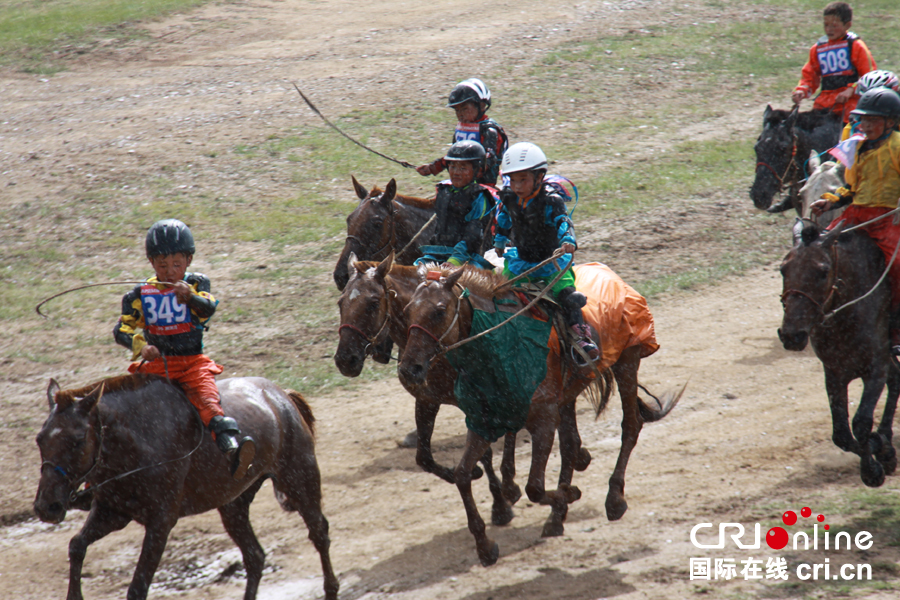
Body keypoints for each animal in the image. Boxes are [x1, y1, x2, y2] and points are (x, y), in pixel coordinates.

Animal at [33, 376, 340, 600]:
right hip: (233, 505)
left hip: (300, 481)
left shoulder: (160, 523)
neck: (139, 440)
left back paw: (331, 588)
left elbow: (137, 587)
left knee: (319, 533)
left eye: (77, 439)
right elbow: (76, 546)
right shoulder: (112, 512)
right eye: (40, 439)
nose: (47, 506)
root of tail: (281, 396)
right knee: (255, 556)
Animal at [334, 253, 524, 524]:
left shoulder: (476, 406)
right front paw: (476, 476)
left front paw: (500, 505)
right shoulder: (426, 400)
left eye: (372, 303)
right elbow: (424, 458)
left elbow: (485, 452)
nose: (344, 360)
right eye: (341, 303)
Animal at [398, 264, 680, 568]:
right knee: (570, 443)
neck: (503, 343)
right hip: (569, 394)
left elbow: (533, 487)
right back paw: (558, 515)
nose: (409, 368)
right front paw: (485, 545)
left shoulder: (543, 420)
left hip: (627, 360)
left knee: (630, 425)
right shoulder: (484, 421)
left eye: (439, 311)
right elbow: (462, 475)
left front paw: (567, 494)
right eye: (407, 311)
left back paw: (614, 498)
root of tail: (610, 274)